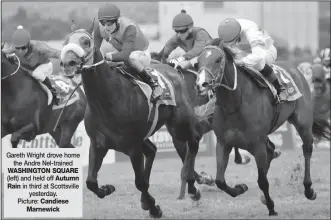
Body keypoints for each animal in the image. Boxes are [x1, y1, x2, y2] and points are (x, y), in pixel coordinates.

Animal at [61, 23, 204, 217]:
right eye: (65, 41)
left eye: (86, 42)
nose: (68, 63)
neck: (108, 99)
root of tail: (172, 68)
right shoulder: (98, 144)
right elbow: (91, 181)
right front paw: (108, 189)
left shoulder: (133, 146)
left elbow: (140, 182)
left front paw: (154, 207)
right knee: (153, 150)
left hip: (179, 123)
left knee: (193, 141)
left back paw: (192, 186)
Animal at [193, 38, 330, 216]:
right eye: (197, 62)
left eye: (218, 59)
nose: (201, 84)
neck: (234, 105)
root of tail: (297, 69)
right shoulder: (224, 143)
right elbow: (220, 180)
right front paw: (241, 188)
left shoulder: (257, 144)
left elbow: (262, 181)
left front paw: (271, 207)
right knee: (271, 151)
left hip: (303, 123)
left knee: (307, 149)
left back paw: (308, 189)